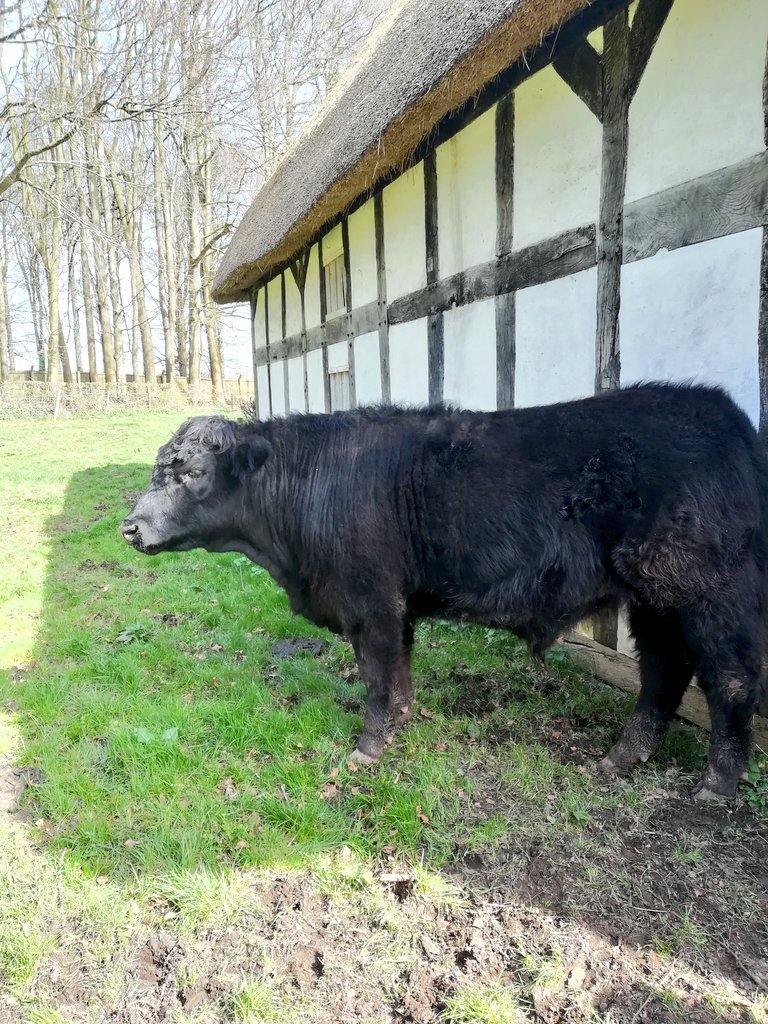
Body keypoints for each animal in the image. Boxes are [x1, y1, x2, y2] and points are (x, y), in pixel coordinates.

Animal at [121, 384, 768, 800]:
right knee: (664, 670)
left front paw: (367, 748)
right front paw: (401, 723)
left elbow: (378, 674)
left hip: (706, 596)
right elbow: (397, 671)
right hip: (655, 601)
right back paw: (620, 760)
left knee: (729, 679)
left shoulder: (373, 602)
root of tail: (727, 415)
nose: (130, 526)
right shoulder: (393, 606)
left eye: (191, 473)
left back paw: (717, 786)